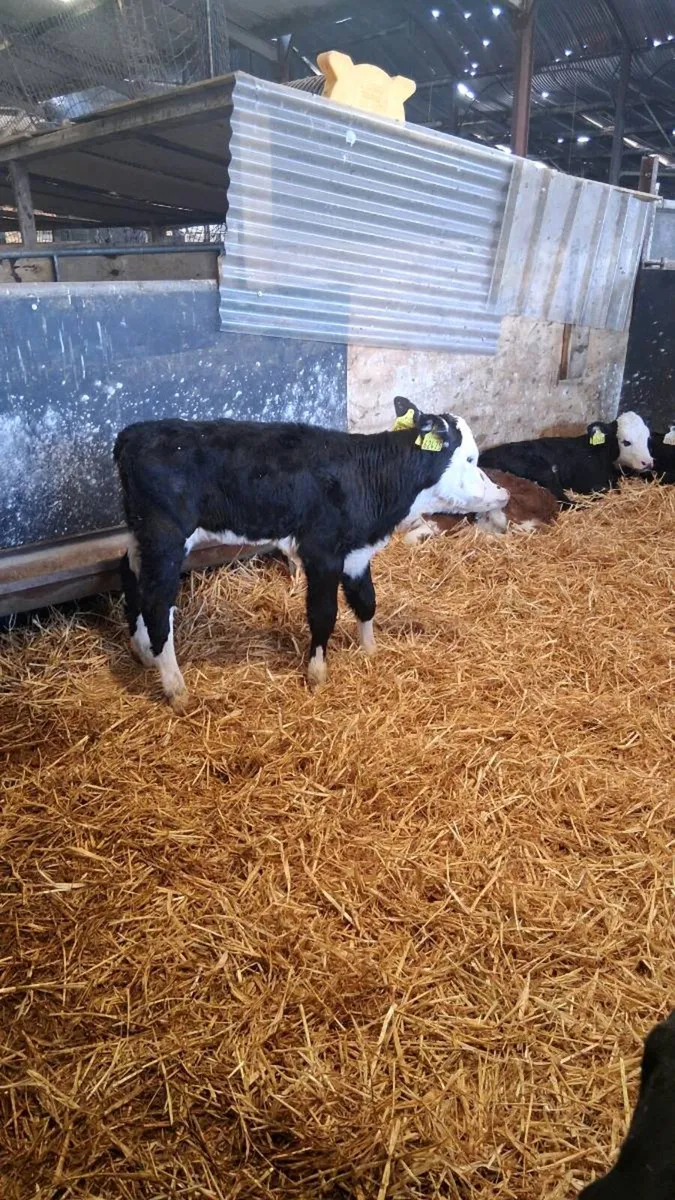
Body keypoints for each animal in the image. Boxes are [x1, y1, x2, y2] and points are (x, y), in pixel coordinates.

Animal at [113, 398, 508, 711]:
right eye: (470, 458)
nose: (502, 492)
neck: (370, 478)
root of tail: (133, 435)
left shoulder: (357, 553)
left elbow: (366, 602)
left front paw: (370, 651)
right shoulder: (323, 552)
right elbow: (324, 613)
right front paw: (317, 673)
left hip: (141, 536)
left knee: (131, 575)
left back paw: (143, 650)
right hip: (165, 536)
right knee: (157, 604)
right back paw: (176, 688)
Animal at [478, 412, 653, 503]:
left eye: (647, 438)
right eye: (626, 442)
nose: (648, 463)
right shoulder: (589, 483)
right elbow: (608, 490)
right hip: (542, 470)